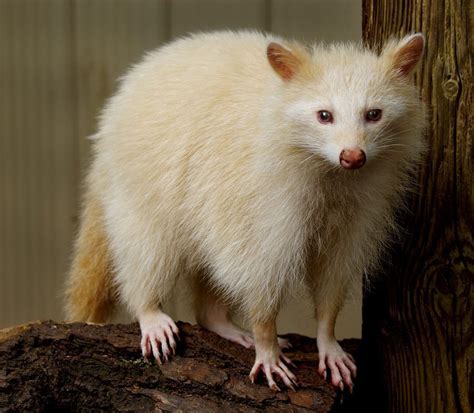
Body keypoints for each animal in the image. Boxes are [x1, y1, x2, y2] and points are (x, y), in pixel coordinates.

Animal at [64, 30, 426, 392]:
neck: (330, 170)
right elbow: (259, 268)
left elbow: (334, 270)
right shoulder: (263, 197)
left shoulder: (360, 207)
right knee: (146, 244)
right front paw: (266, 338)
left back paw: (216, 319)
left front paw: (327, 334)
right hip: (143, 174)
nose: (352, 156)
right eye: (324, 115)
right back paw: (148, 307)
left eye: (374, 114)